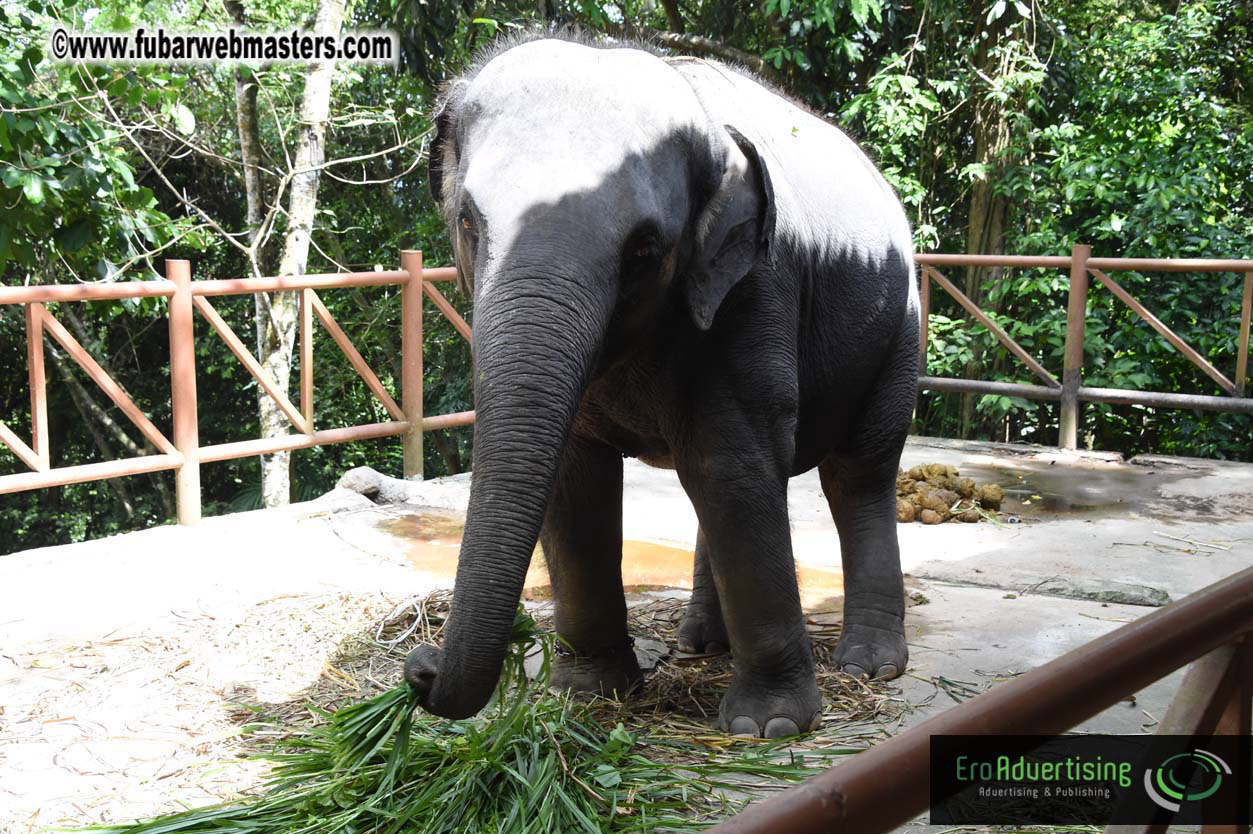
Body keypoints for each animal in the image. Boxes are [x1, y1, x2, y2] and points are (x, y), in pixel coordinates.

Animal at [404, 30, 919, 739]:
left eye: (645, 249)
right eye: (469, 223)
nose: (418, 669)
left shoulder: (754, 288)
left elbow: (729, 459)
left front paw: (769, 727)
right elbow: (577, 476)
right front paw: (586, 696)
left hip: (900, 325)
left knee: (858, 471)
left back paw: (870, 666)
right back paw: (700, 643)